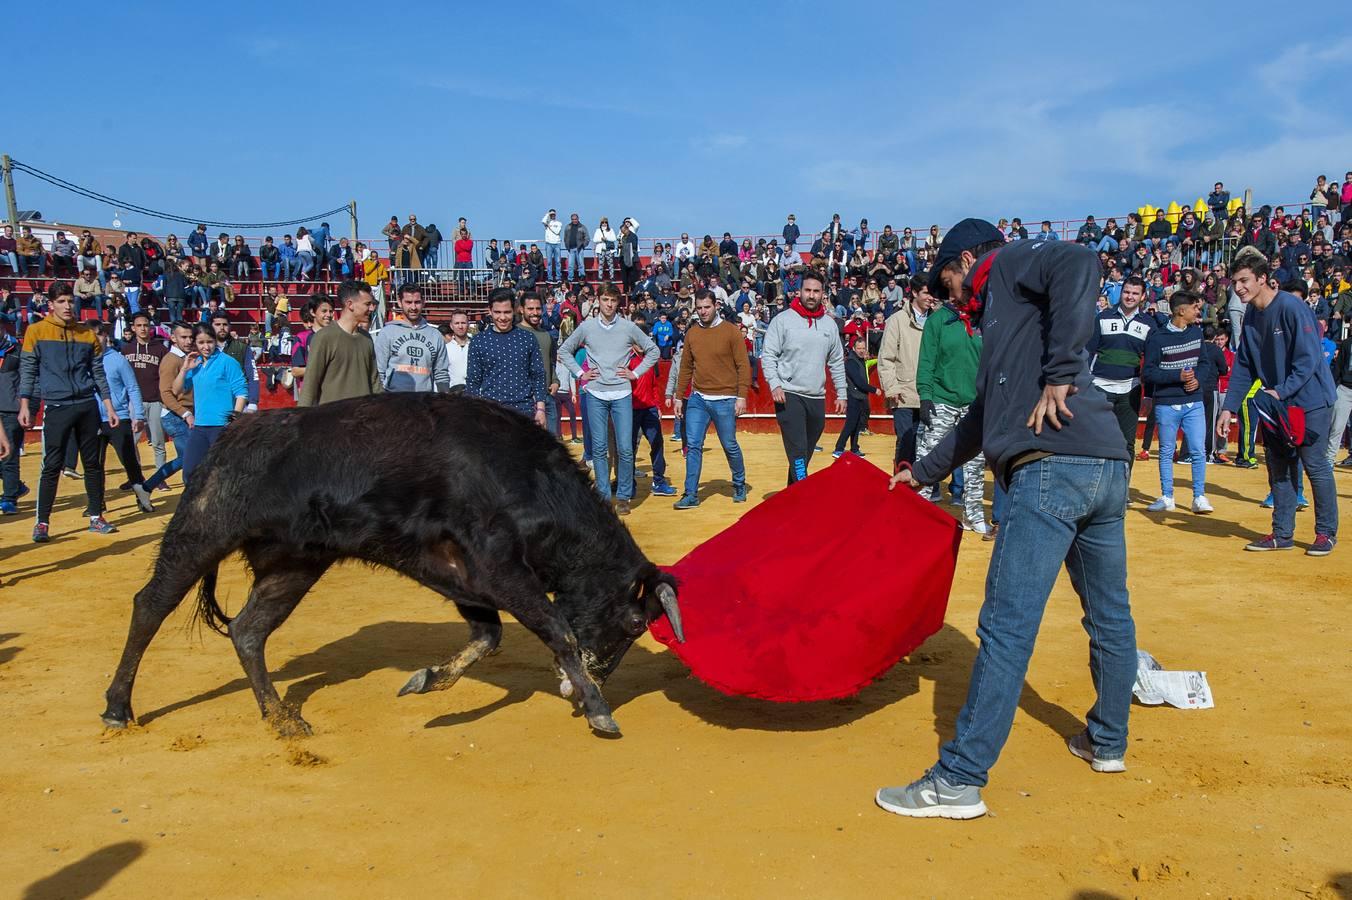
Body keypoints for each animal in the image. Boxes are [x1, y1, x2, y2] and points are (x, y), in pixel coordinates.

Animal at [98, 391, 681, 735]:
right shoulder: (498, 567)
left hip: (294, 564)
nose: (593, 680)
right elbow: (555, 626)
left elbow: (488, 635)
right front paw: (599, 709)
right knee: (150, 605)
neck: (526, 479)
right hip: (203, 530)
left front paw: (426, 680)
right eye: (635, 623)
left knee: (248, 630)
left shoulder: (461, 572)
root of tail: (230, 433)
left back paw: (282, 719)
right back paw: (117, 707)